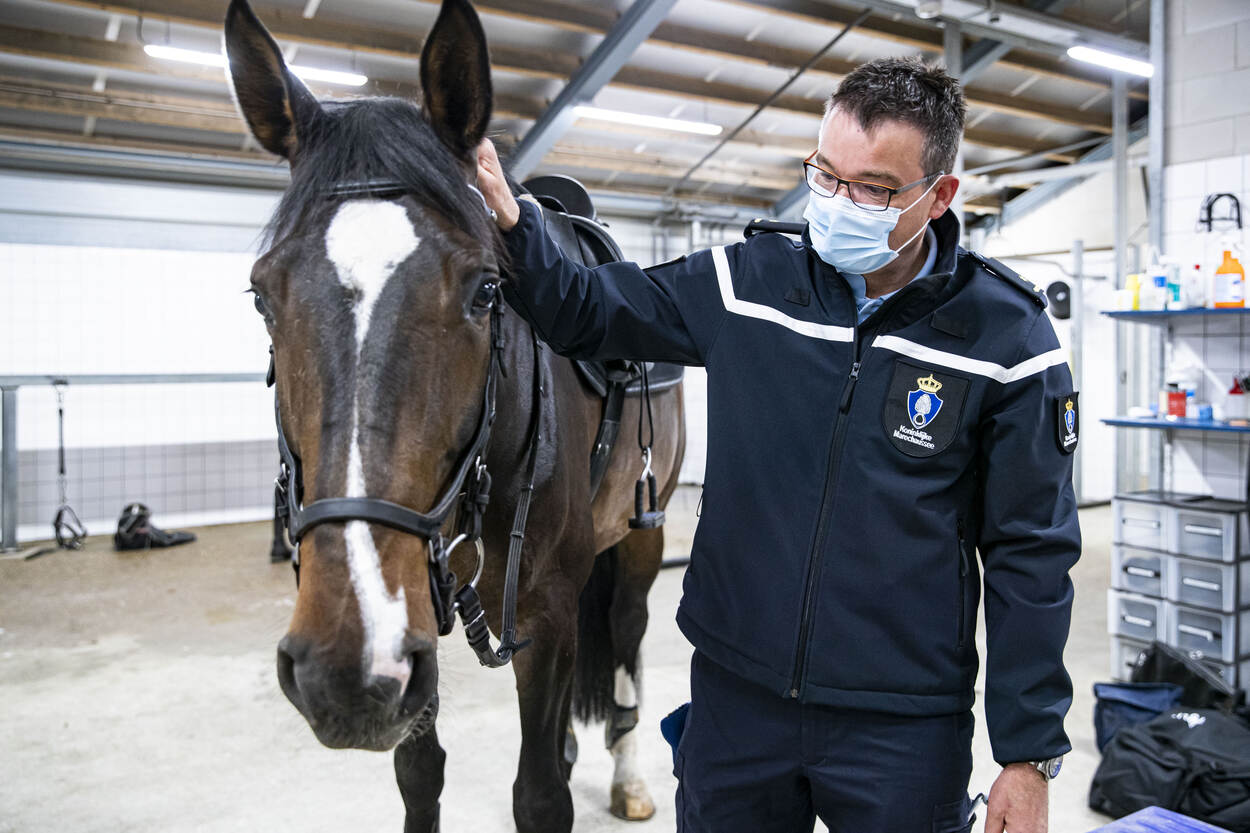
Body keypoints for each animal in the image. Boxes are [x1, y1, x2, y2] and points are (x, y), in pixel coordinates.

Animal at [223, 0, 686, 830]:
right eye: (261, 295)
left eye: (486, 290)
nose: (340, 668)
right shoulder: (417, 621)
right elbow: (421, 775)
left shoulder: (547, 609)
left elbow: (540, 795)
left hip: (640, 537)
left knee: (628, 639)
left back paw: (630, 773)